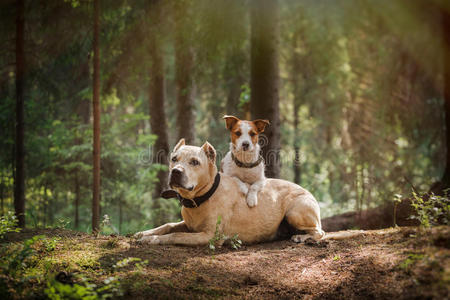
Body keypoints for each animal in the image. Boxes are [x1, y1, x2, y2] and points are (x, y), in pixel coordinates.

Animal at [135, 139, 326, 245]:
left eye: (195, 162)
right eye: (174, 159)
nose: (176, 172)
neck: (202, 197)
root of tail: (309, 193)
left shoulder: (209, 236)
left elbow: (176, 235)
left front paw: (152, 239)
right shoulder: (188, 224)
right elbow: (168, 226)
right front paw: (144, 233)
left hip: (295, 212)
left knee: (320, 232)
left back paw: (302, 238)